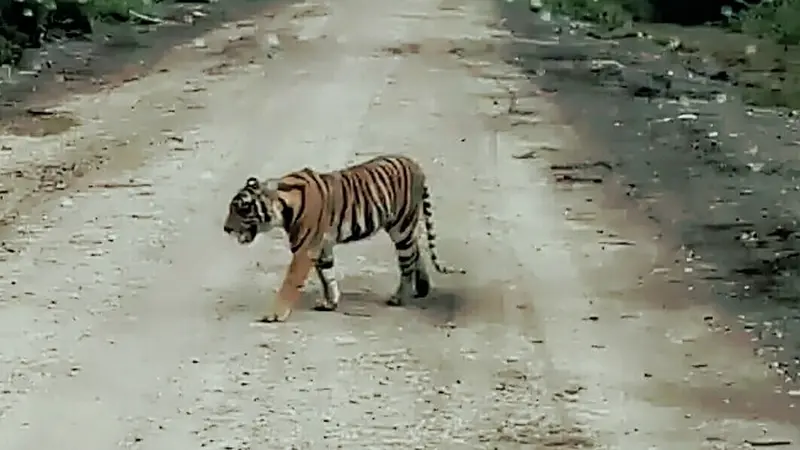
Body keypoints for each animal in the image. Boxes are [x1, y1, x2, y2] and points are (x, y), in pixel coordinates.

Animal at [222, 153, 466, 322]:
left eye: (242, 208)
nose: (226, 229)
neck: (283, 206)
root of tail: (414, 163)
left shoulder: (304, 249)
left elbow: (290, 283)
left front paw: (275, 314)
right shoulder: (322, 247)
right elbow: (327, 275)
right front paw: (330, 302)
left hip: (401, 226)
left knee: (408, 261)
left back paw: (399, 297)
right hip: (401, 227)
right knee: (416, 250)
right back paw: (422, 287)